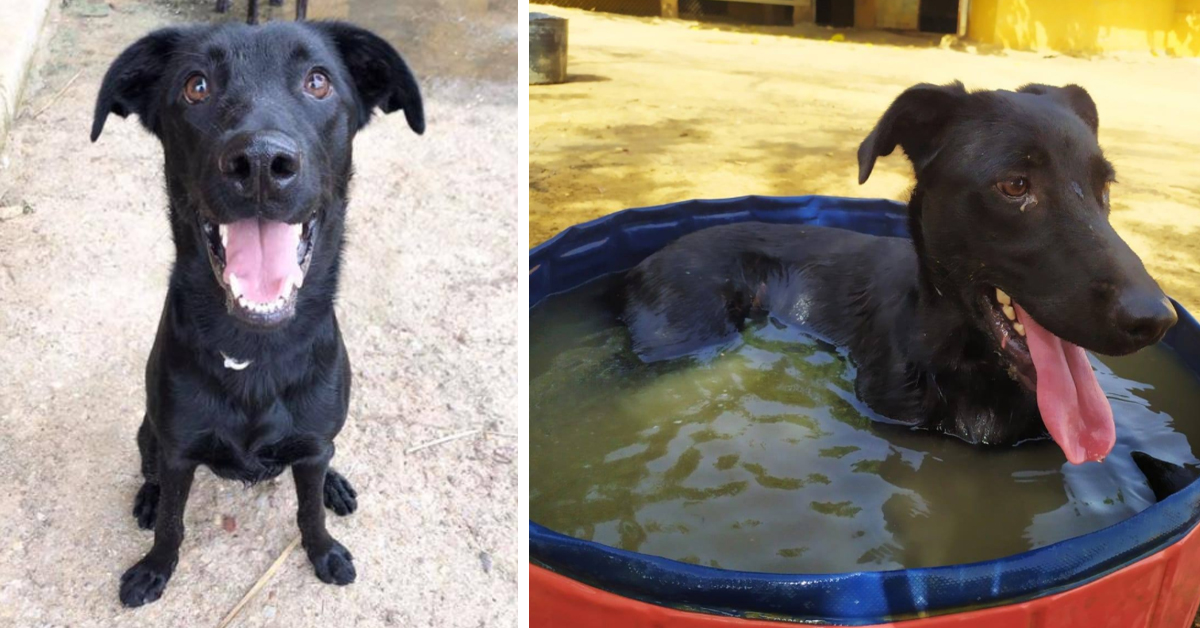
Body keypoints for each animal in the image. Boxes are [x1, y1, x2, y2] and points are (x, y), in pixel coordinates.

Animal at [91, 22, 424, 607]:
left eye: (318, 81)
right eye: (195, 86)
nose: (263, 163)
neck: (254, 348)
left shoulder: (312, 447)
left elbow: (309, 511)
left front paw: (324, 551)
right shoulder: (178, 451)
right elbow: (172, 522)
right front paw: (154, 567)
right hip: (148, 434)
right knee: (152, 473)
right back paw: (148, 498)